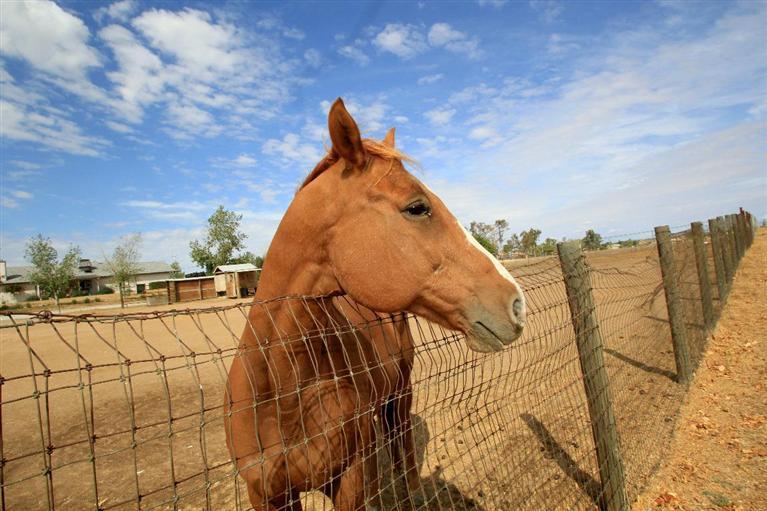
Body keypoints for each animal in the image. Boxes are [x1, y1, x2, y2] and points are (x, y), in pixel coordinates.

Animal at [224, 98, 527, 511]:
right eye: (417, 207)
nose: (517, 303)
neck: (280, 393)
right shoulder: (267, 496)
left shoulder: (349, 481)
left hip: (401, 395)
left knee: (402, 450)